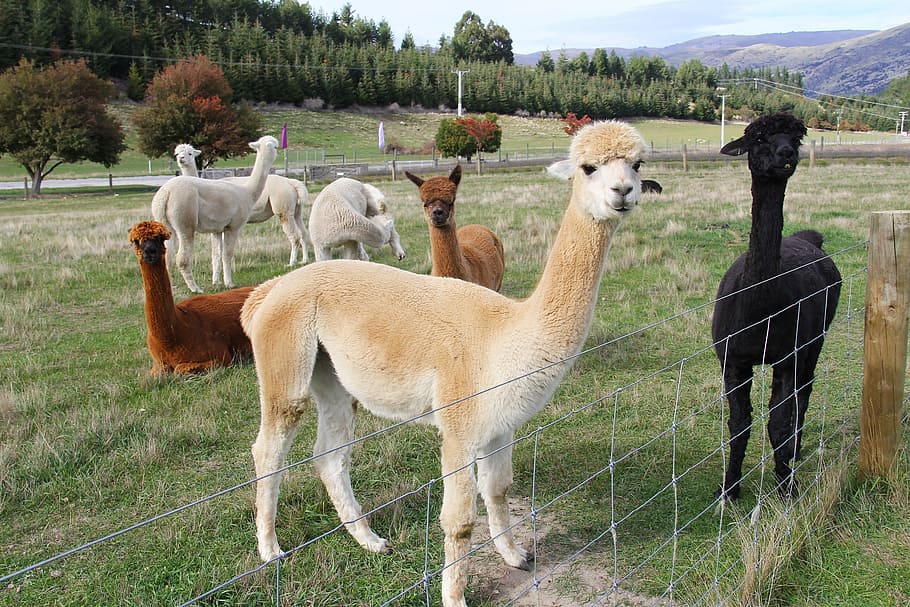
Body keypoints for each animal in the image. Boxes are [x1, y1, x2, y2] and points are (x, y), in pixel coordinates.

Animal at [128, 220, 254, 375]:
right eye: (136, 241)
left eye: (159, 238)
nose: (150, 251)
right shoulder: (158, 363)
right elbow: (159, 372)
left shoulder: (221, 356)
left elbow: (179, 370)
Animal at [151, 135, 279, 293]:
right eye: (276, 146)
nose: (181, 158)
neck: (248, 193)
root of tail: (166, 193)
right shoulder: (233, 226)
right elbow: (227, 254)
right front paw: (229, 283)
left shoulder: (218, 229)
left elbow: (216, 254)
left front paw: (217, 282)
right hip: (184, 218)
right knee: (182, 258)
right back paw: (195, 289)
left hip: (165, 223)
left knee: (166, 256)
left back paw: (170, 288)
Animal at [173, 143, 311, 267]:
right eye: (177, 153)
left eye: (190, 153)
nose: (181, 159)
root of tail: (291, 183)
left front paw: (231, 267)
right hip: (296, 211)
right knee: (303, 233)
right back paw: (304, 260)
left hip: (283, 208)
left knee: (295, 236)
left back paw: (291, 263)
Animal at [240, 120, 647, 607]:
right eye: (588, 167)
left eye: (637, 163)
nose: (623, 192)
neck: (505, 335)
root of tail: (267, 292)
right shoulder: (459, 424)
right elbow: (459, 521)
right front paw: (455, 596)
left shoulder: (500, 424)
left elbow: (499, 489)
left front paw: (516, 555)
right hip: (286, 358)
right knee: (269, 449)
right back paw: (270, 549)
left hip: (332, 376)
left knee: (329, 457)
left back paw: (370, 540)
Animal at [712, 112, 842, 501]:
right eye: (758, 139)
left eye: (796, 139)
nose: (786, 154)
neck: (760, 312)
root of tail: (806, 238)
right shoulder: (733, 359)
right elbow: (739, 424)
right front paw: (729, 488)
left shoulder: (787, 355)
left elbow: (779, 423)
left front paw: (786, 486)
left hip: (815, 337)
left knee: (805, 390)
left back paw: (795, 453)